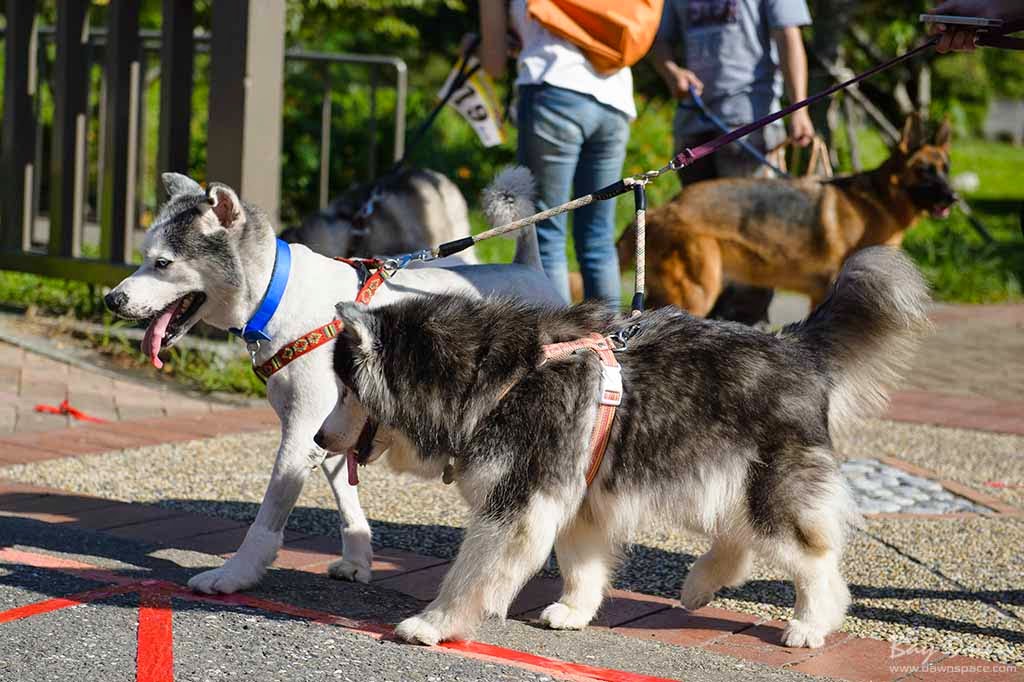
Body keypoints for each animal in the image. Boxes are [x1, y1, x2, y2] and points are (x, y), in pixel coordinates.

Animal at [323, 245, 933, 647]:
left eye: (347, 388)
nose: (317, 436)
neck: (493, 381)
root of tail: (795, 346)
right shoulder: (573, 498)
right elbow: (583, 565)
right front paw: (574, 611)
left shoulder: (519, 502)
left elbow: (470, 572)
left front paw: (433, 622)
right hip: (709, 475)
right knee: (739, 538)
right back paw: (701, 585)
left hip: (763, 487)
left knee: (812, 558)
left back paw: (812, 621)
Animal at [618, 114, 954, 315]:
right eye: (924, 171)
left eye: (945, 169)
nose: (954, 196)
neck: (878, 201)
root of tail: (663, 207)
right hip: (696, 293)